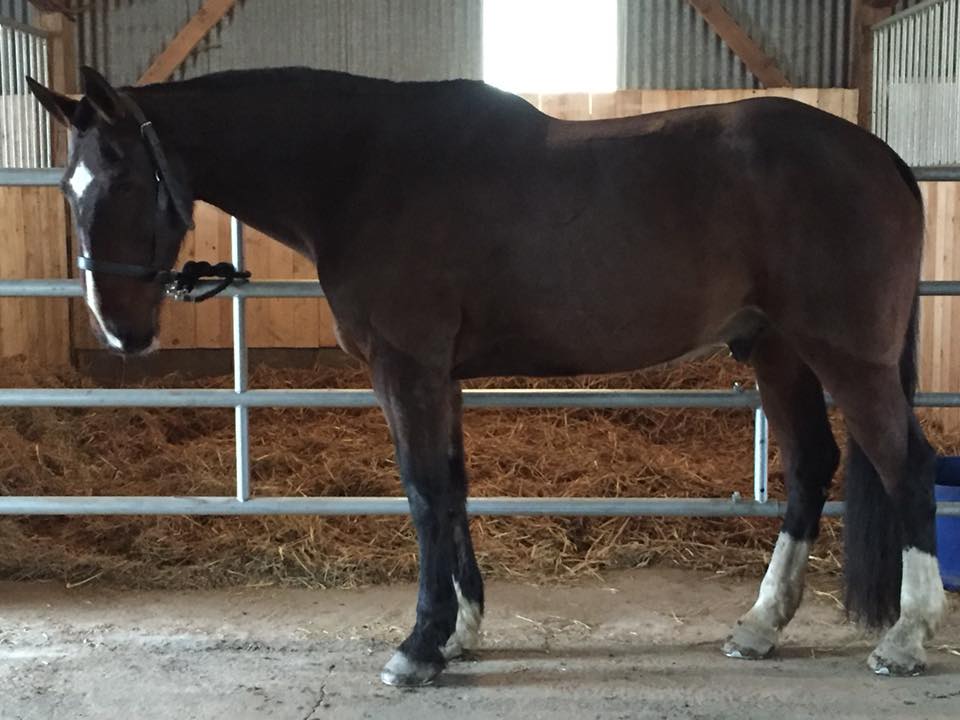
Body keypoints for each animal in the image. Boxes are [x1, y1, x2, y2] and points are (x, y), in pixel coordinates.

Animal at [28, 66, 945, 686]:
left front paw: (418, 647)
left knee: (908, 466)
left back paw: (907, 637)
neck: (357, 170)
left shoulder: (407, 368)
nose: (122, 329)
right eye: (69, 187)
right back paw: (759, 626)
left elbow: (423, 490)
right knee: (813, 468)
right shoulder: (441, 376)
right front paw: (461, 630)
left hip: (846, 356)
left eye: (125, 178)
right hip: (778, 351)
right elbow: (454, 488)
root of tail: (881, 158)